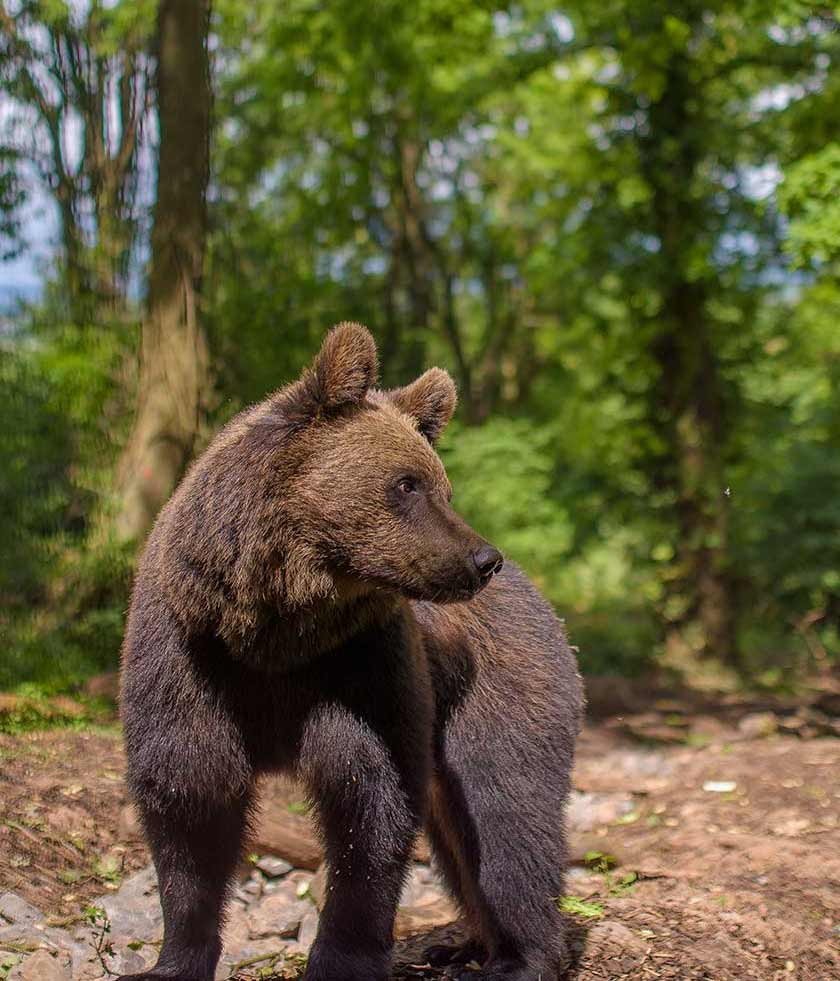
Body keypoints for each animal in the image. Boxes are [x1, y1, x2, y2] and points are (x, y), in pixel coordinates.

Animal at [118, 324, 580, 980]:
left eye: (441, 486)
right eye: (407, 483)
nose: (482, 559)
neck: (274, 629)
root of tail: (539, 599)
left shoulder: (361, 665)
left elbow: (369, 798)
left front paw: (342, 956)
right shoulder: (191, 659)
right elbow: (190, 797)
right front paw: (173, 958)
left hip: (502, 688)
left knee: (506, 813)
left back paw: (521, 956)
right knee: (460, 827)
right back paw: (466, 941)